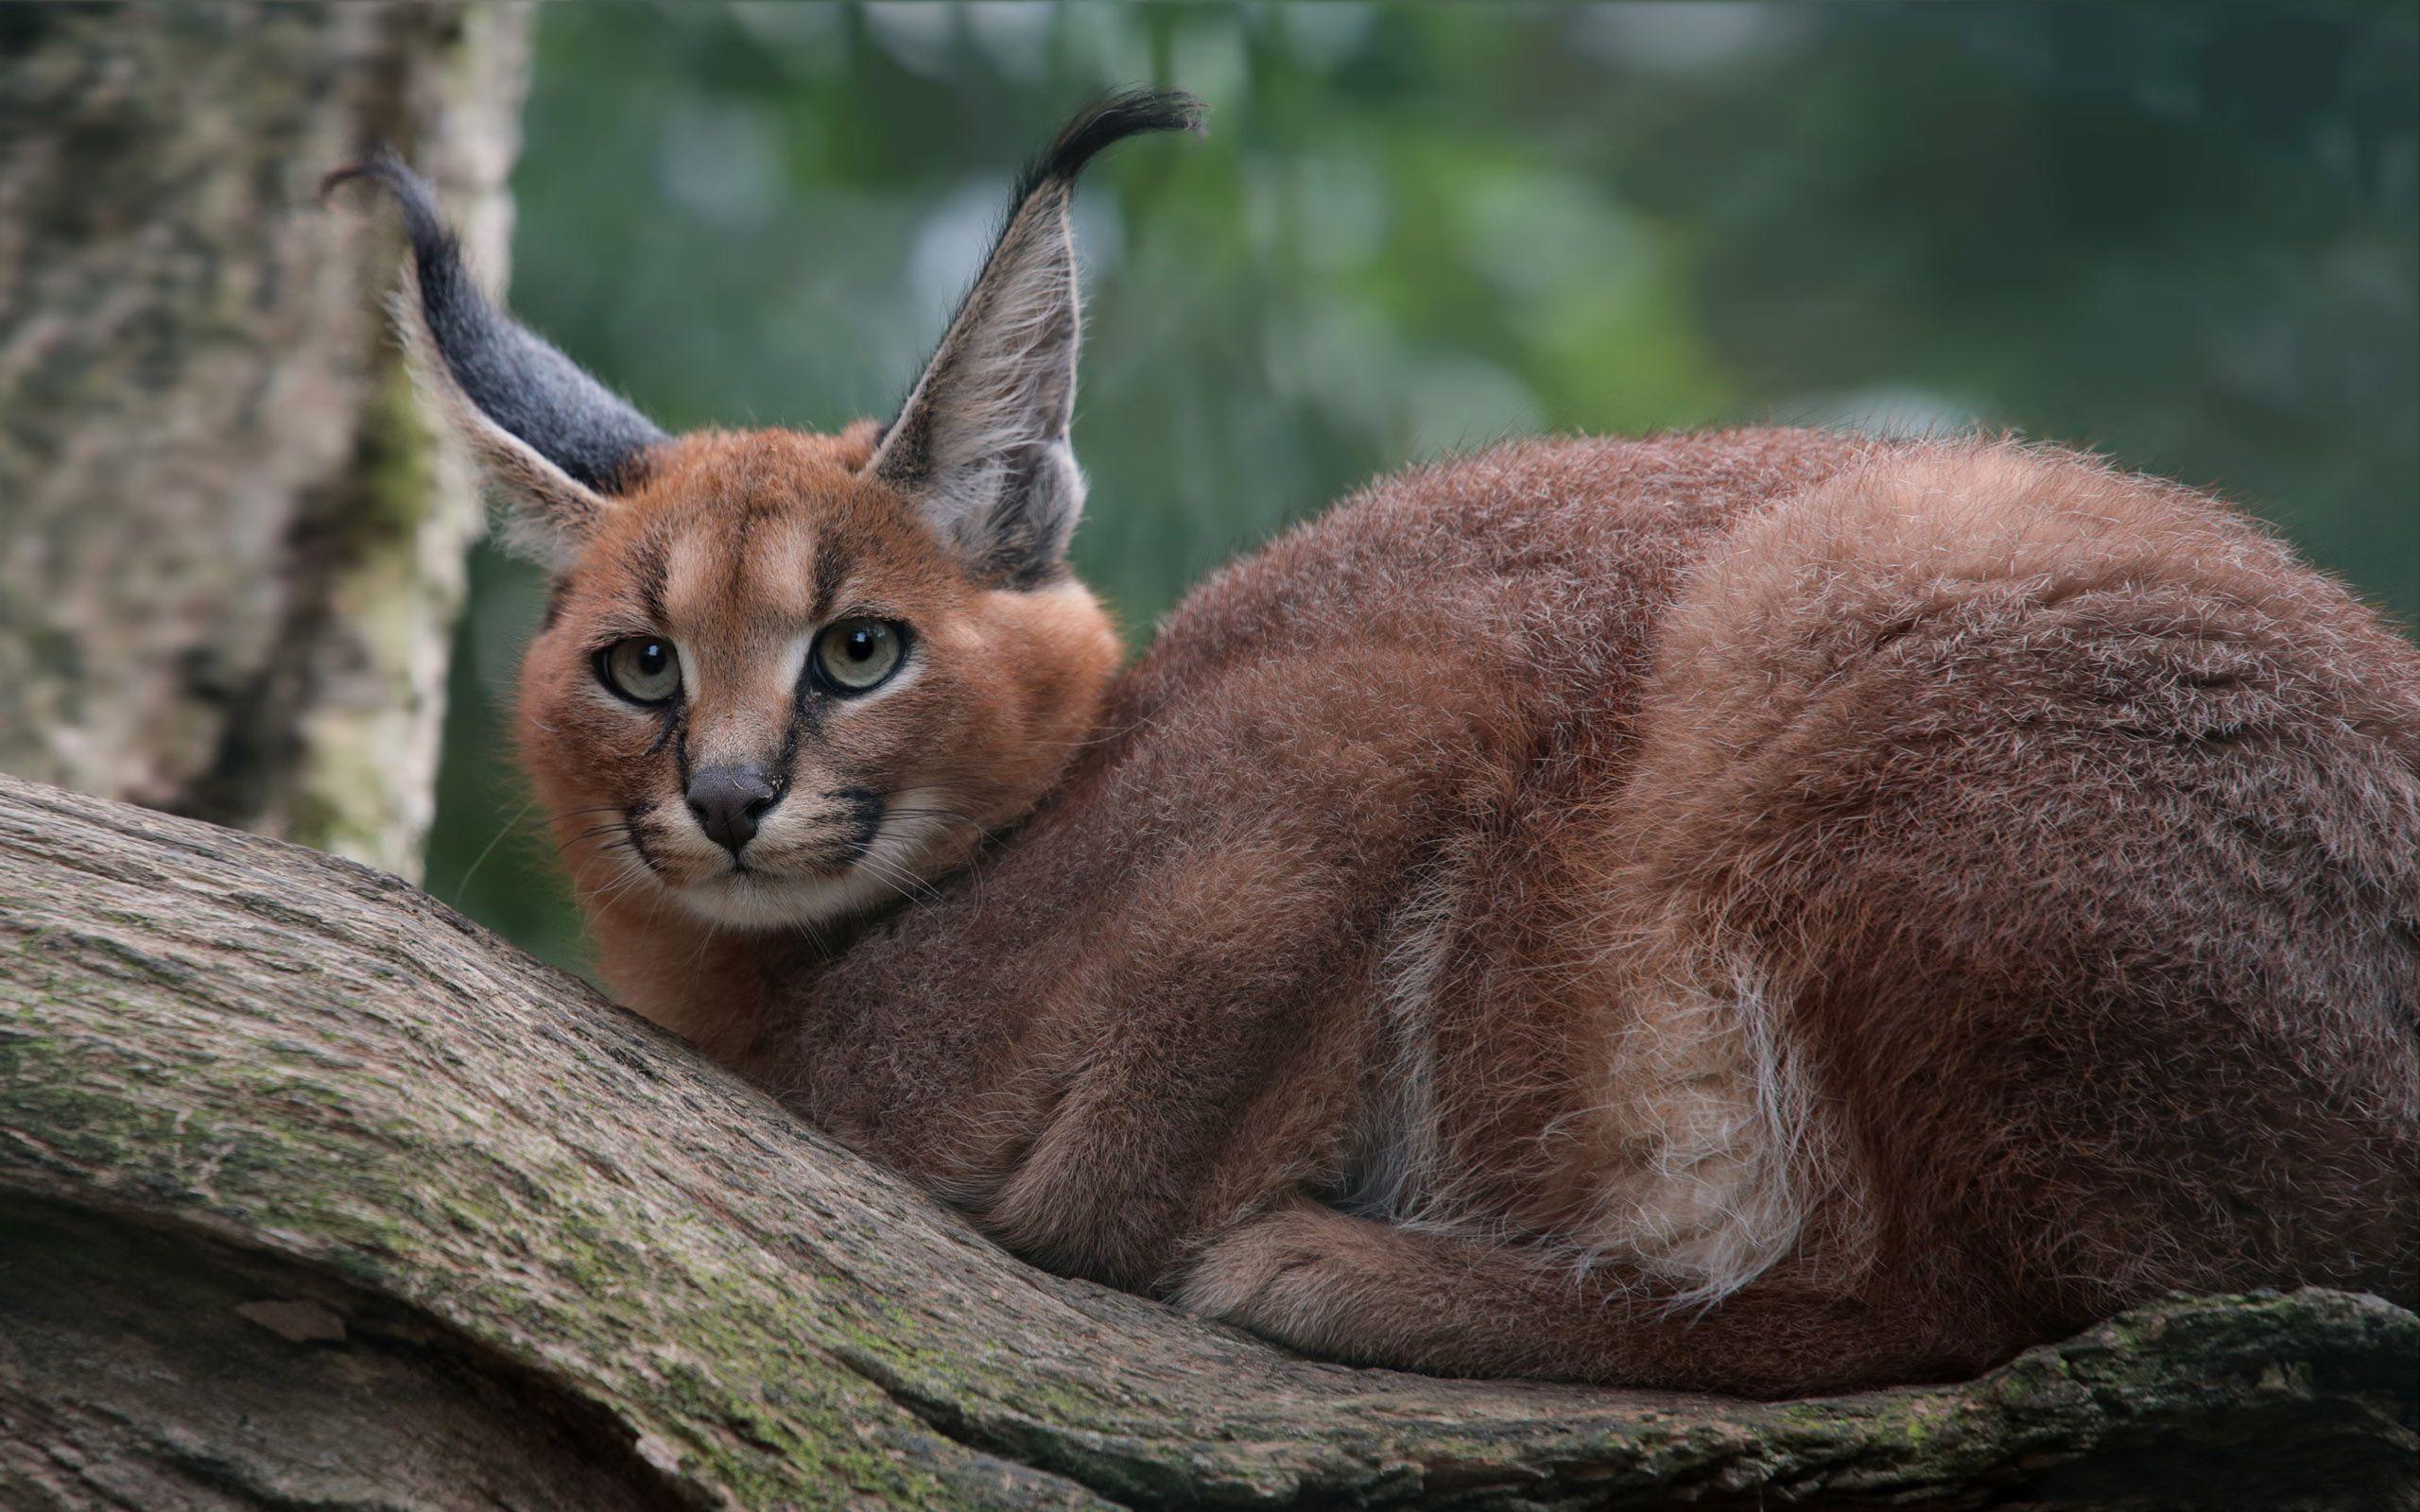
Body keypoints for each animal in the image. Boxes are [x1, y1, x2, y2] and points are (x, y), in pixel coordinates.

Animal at [336, 91, 2420, 1393]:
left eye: (858, 650)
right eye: (638, 668)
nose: (730, 798)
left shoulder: (1401, 709)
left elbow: (1106, 1183)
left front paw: (1107, 1206)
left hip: (1825, 608)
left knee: (1976, 1303)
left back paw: (1365, 1277)